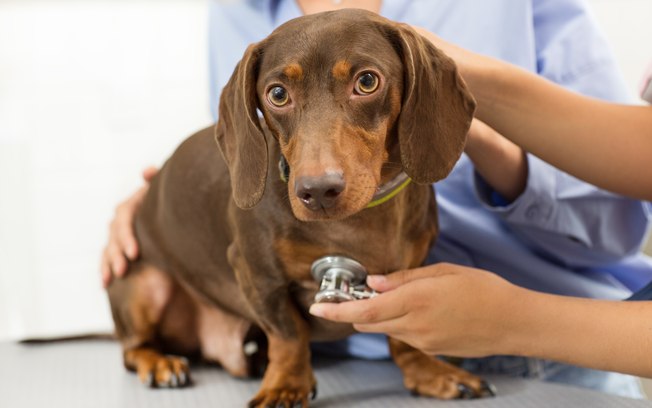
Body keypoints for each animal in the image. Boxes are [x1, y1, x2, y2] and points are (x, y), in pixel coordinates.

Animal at [108, 7, 494, 406]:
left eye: (367, 81)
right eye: (277, 94)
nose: (318, 191)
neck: (356, 222)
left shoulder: (407, 275)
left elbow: (404, 336)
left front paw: (428, 372)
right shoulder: (256, 273)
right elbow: (288, 334)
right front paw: (285, 384)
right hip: (142, 283)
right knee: (133, 348)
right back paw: (161, 363)